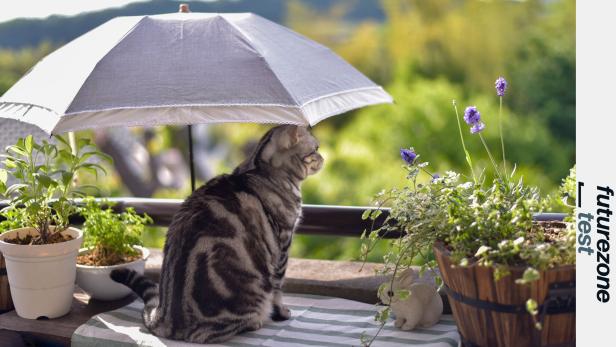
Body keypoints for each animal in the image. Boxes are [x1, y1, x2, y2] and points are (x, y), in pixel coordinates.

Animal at [111, 125, 324, 346]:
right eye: (316, 148)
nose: (323, 157)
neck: (262, 169)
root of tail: (166, 318)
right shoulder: (283, 242)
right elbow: (278, 289)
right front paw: (281, 313)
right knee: (214, 332)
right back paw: (255, 321)